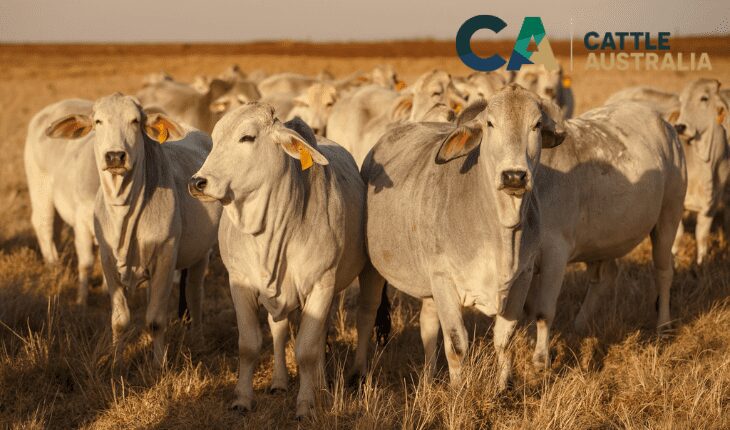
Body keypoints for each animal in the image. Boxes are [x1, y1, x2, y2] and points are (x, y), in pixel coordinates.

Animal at [26, 99, 100, 305]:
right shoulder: (82, 222)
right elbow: (86, 263)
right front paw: (81, 301)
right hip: (40, 188)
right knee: (43, 224)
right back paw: (54, 268)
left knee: (55, 227)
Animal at [44, 93, 222, 365]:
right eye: (98, 121)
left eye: (135, 121)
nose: (115, 156)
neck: (124, 214)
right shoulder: (108, 261)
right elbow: (120, 320)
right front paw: (117, 362)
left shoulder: (165, 257)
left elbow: (156, 320)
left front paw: (158, 365)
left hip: (201, 254)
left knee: (194, 295)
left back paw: (199, 341)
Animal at [188, 103, 380, 418]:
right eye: (214, 139)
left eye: (247, 137)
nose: (197, 182)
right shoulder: (239, 282)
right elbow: (249, 345)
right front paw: (242, 399)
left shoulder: (321, 284)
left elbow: (307, 349)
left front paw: (305, 404)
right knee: (279, 329)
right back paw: (282, 381)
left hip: (361, 276)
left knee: (355, 319)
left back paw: (339, 378)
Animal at [672, 79, 729, 264]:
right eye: (681, 100)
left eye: (704, 98)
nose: (680, 127)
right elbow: (677, 236)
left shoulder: (710, 206)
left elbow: (701, 237)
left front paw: (701, 263)